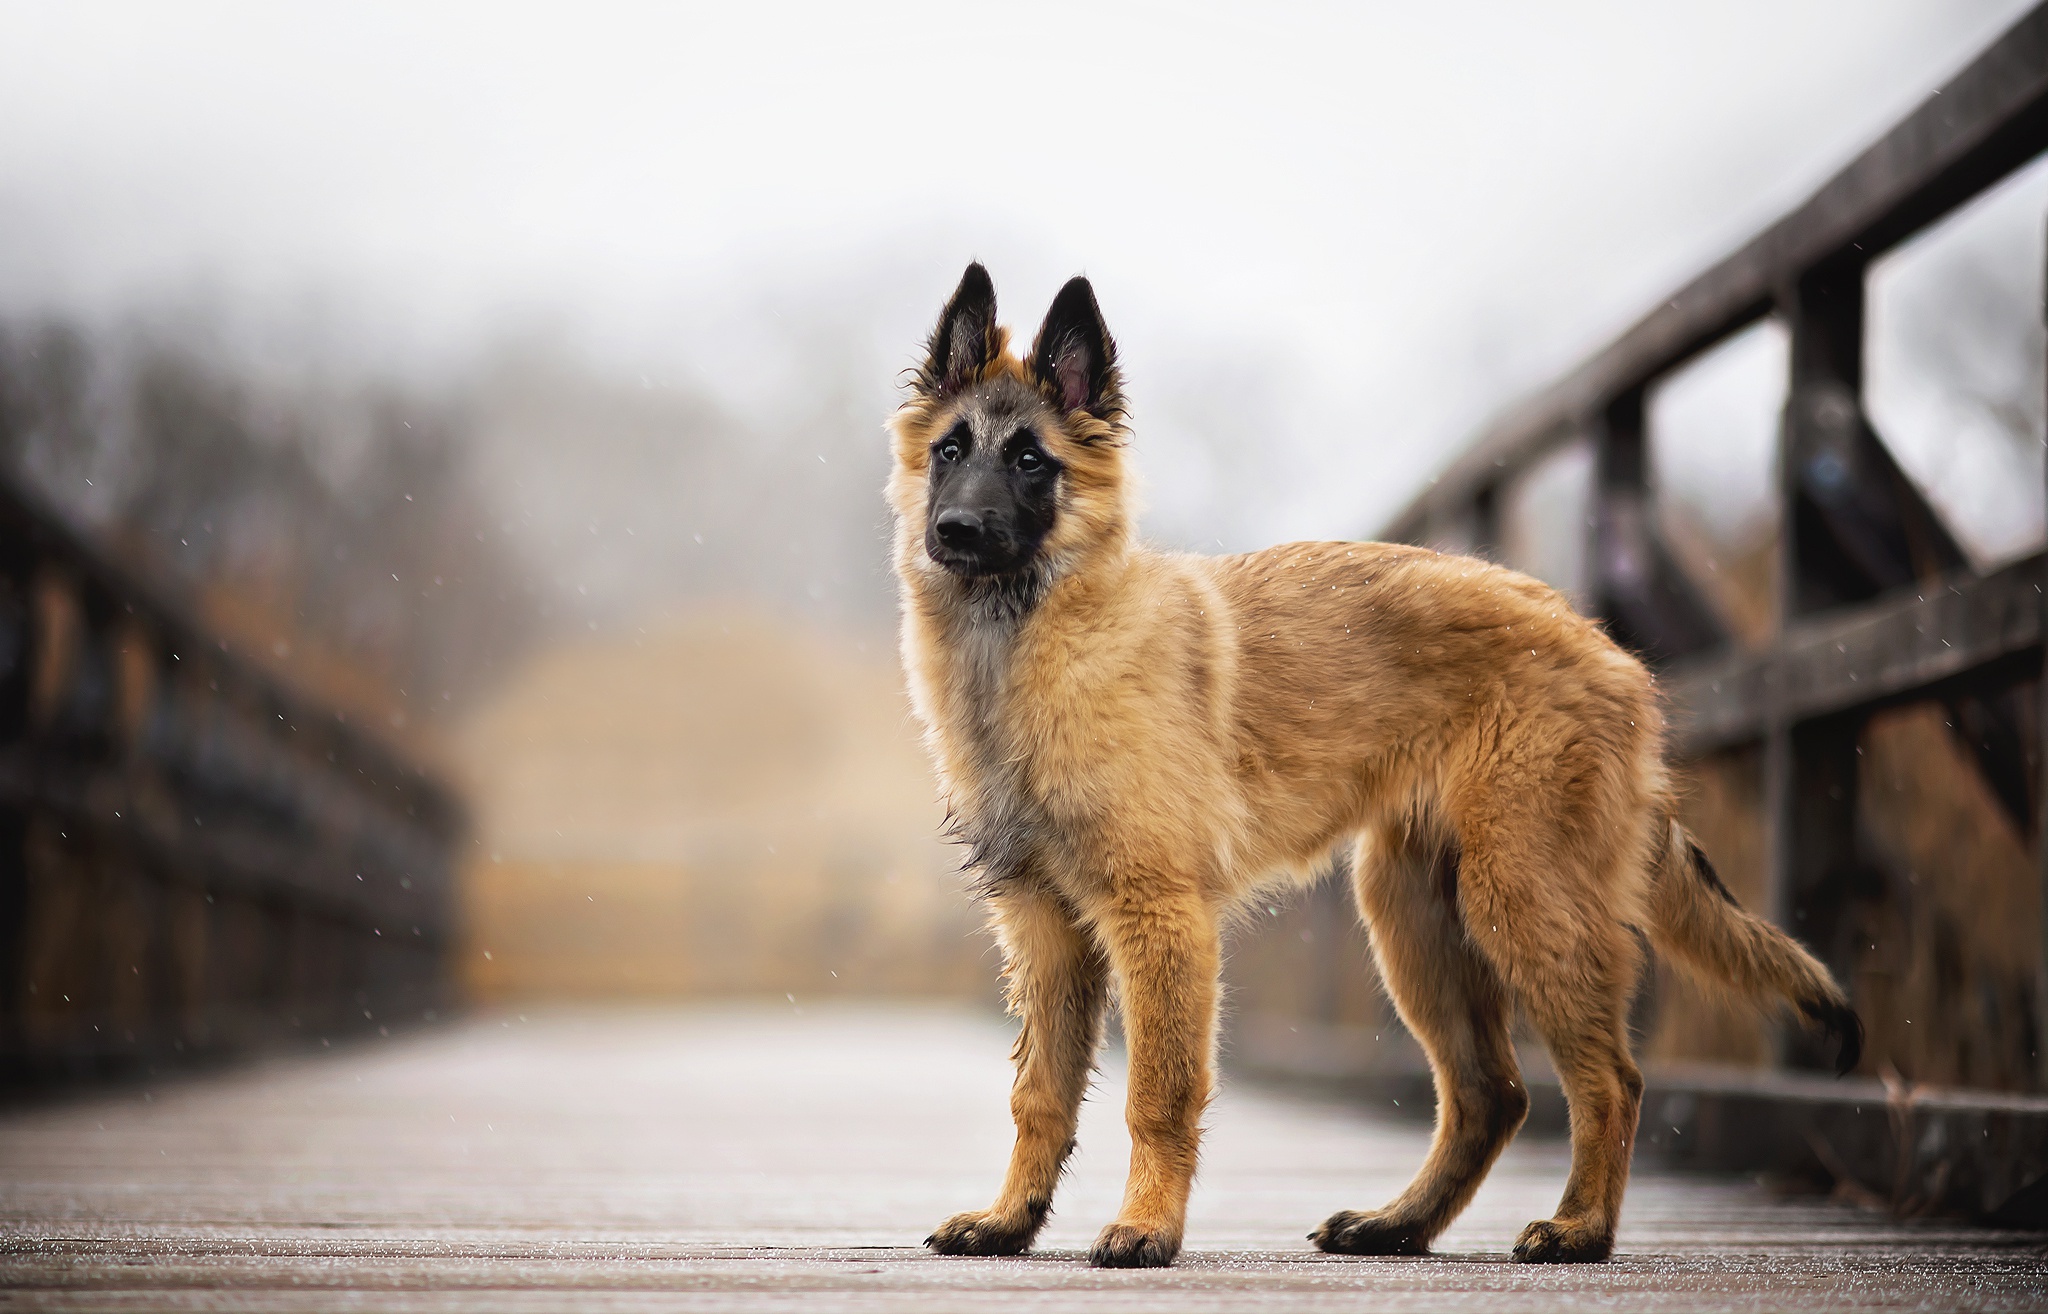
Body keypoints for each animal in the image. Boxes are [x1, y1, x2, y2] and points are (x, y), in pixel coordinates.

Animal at [888, 264, 1867, 1260]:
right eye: (949, 450)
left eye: (1030, 461)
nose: (955, 530)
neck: (1029, 640)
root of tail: (1608, 649)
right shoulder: (1043, 930)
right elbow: (1037, 1095)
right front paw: (1010, 1219)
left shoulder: (1157, 919)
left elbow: (1156, 1095)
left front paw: (1146, 1226)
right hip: (1412, 917)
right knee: (1490, 1095)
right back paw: (1399, 1223)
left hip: (1521, 899)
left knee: (1611, 1082)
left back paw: (1579, 1229)